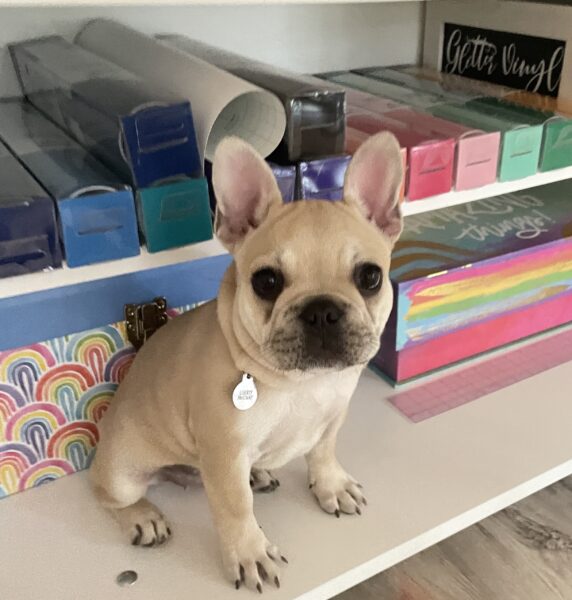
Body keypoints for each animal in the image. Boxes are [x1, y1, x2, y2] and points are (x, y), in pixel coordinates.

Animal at [90, 131, 402, 592]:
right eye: (266, 282)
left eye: (370, 277)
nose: (322, 310)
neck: (299, 382)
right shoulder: (224, 452)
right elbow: (236, 508)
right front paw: (250, 553)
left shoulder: (333, 417)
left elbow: (323, 452)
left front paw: (330, 485)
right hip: (121, 474)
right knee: (107, 495)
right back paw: (143, 516)